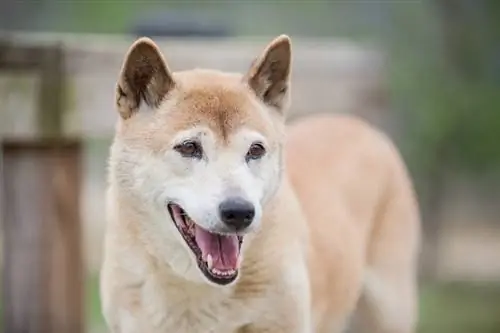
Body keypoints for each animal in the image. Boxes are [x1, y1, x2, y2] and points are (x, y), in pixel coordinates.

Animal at [100, 34, 422, 332]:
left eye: (255, 150)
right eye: (189, 147)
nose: (239, 212)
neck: (199, 291)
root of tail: (363, 127)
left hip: (390, 308)